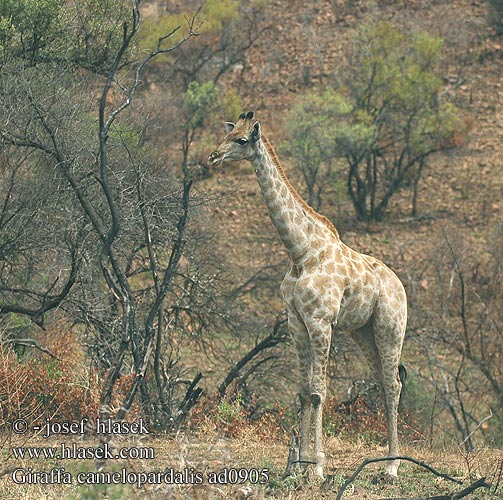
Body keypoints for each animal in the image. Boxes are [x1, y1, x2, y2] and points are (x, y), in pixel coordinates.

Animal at [209, 111, 410, 478]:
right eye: (227, 135)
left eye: (242, 140)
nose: (213, 157)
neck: (301, 252)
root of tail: (399, 285)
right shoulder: (296, 323)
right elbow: (303, 392)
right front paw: (298, 466)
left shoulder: (320, 321)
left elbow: (319, 392)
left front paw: (316, 468)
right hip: (363, 332)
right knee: (383, 380)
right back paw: (387, 462)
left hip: (390, 326)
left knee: (393, 384)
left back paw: (392, 467)